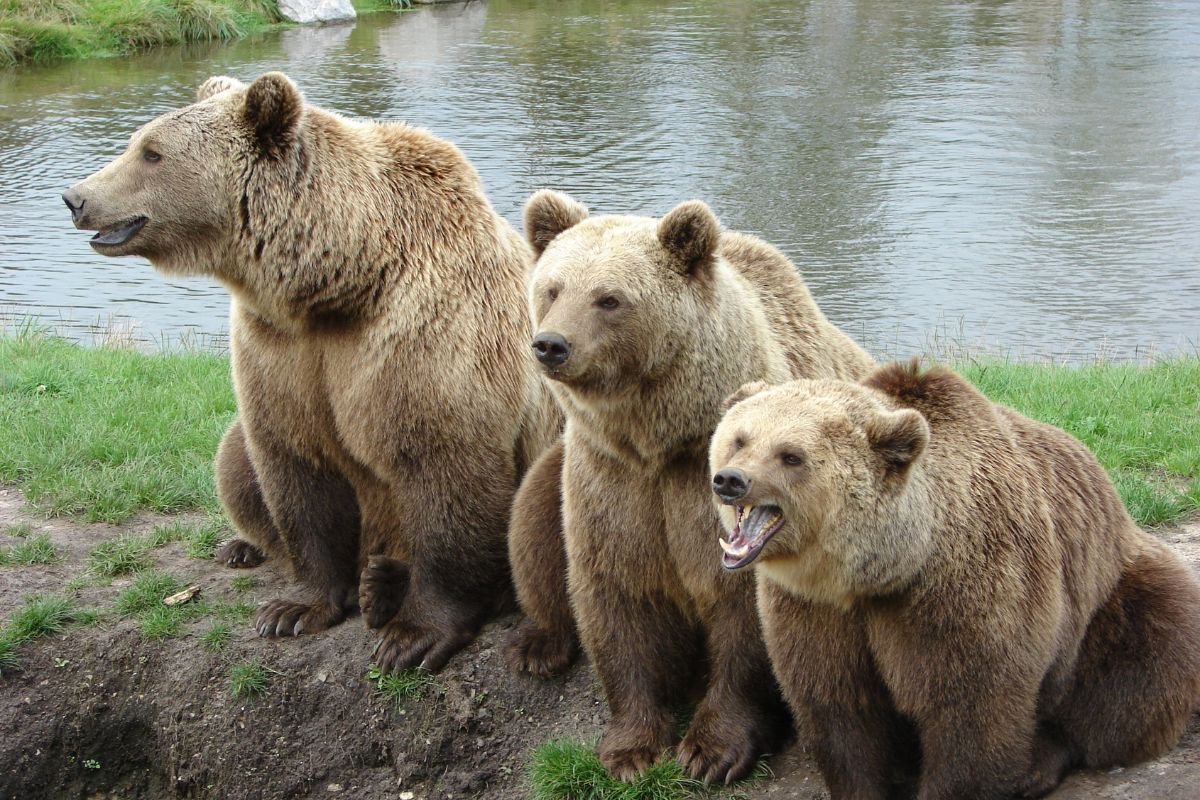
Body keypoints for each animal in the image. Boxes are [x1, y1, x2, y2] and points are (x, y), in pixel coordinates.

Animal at [63, 72, 561, 672]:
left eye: (151, 152)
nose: (76, 197)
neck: (340, 282)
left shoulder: (426, 338)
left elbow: (443, 467)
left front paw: (412, 636)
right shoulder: (281, 350)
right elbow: (294, 466)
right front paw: (295, 609)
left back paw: (386, 584)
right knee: (233, 458)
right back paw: (256, 549)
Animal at [505, 189, 875, 783]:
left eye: (609, 299)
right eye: (553, 288)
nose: (551, 345)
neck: (660, 440)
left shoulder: (707, 491)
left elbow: (744, 615)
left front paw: (711, 750)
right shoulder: (613, 478)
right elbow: (618, 595)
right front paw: (631, 749)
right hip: (556, 464)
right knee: (532, 520)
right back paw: (537, 644)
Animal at [708, 362, 1200, 800]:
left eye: (791, 455)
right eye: (740, 439)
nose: (730, 480)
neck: (879, 572)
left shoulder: (966, 586)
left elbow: (971, 710)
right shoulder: (814, 609)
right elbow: (840, 706)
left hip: (1111, 594)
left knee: (1141, 666)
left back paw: (1038, 763)